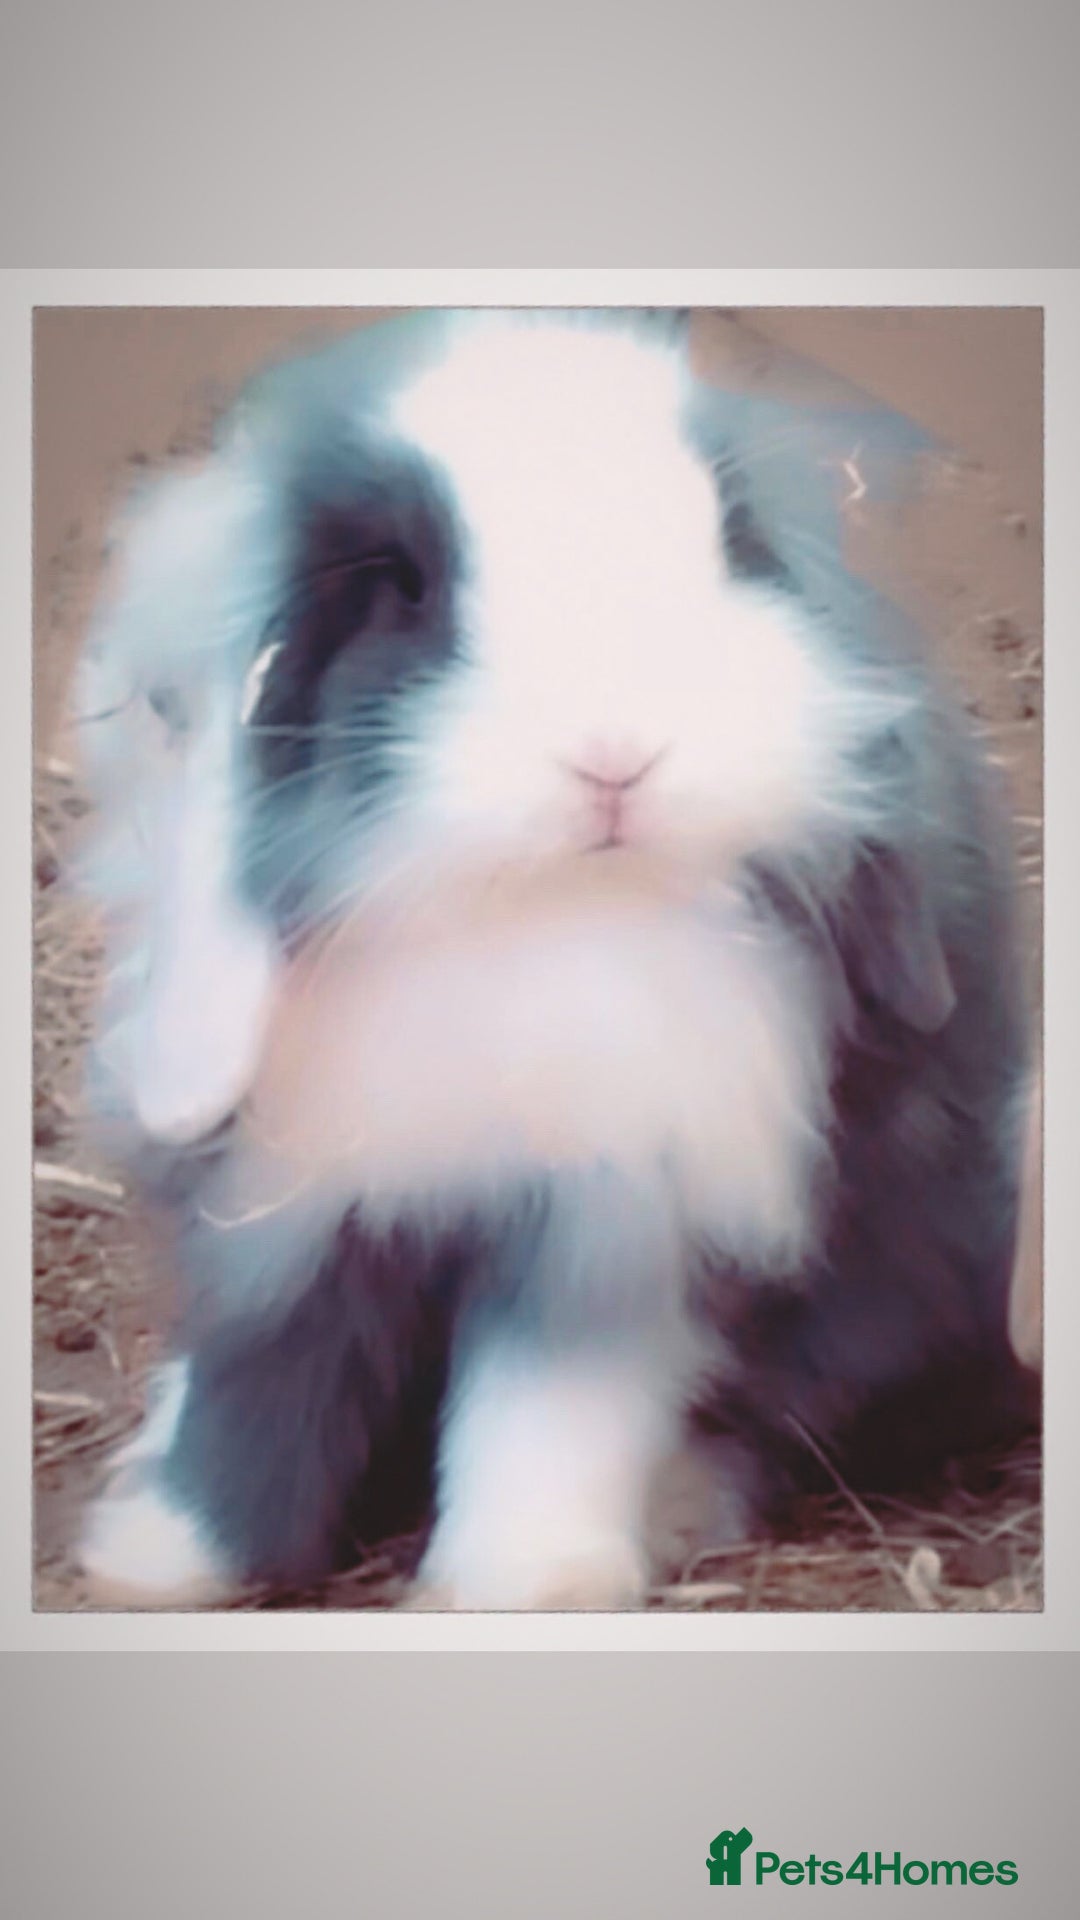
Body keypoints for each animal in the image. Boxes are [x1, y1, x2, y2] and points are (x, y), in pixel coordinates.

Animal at [69, 308, 1037, 1610]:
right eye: (404, 585)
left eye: (727, 543)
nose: (614, 754)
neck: (527, 907)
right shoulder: (288, 1214)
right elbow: (254, 1388)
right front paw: (161, 1560)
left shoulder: (605, 1212)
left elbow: (548, 1408)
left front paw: (526, 1583)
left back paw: (678, 1502)